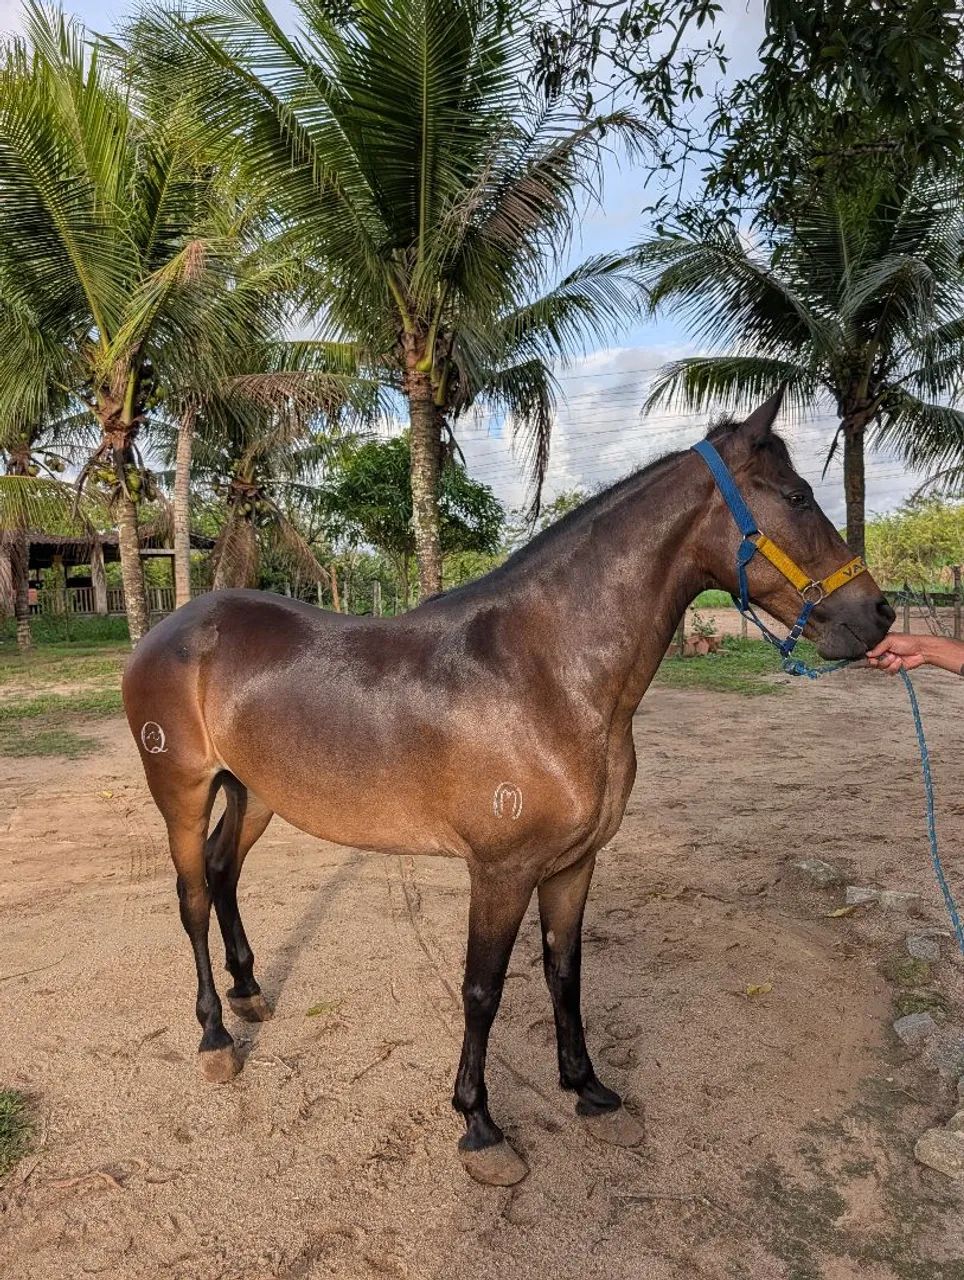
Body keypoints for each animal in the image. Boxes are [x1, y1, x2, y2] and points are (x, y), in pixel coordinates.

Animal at [122, 392, 895, 1186]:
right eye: (797, 497)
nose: (879, 614)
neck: (547, 674)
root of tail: (174, 625)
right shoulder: (500, 871)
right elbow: (482, 990)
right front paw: (479, 1125)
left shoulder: (573, 864)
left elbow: (565, 973)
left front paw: (589, 1091)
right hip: (182, 792)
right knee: (191, 897)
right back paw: (215, 1039)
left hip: (254, 792)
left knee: (223, 872)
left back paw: (248, 994)